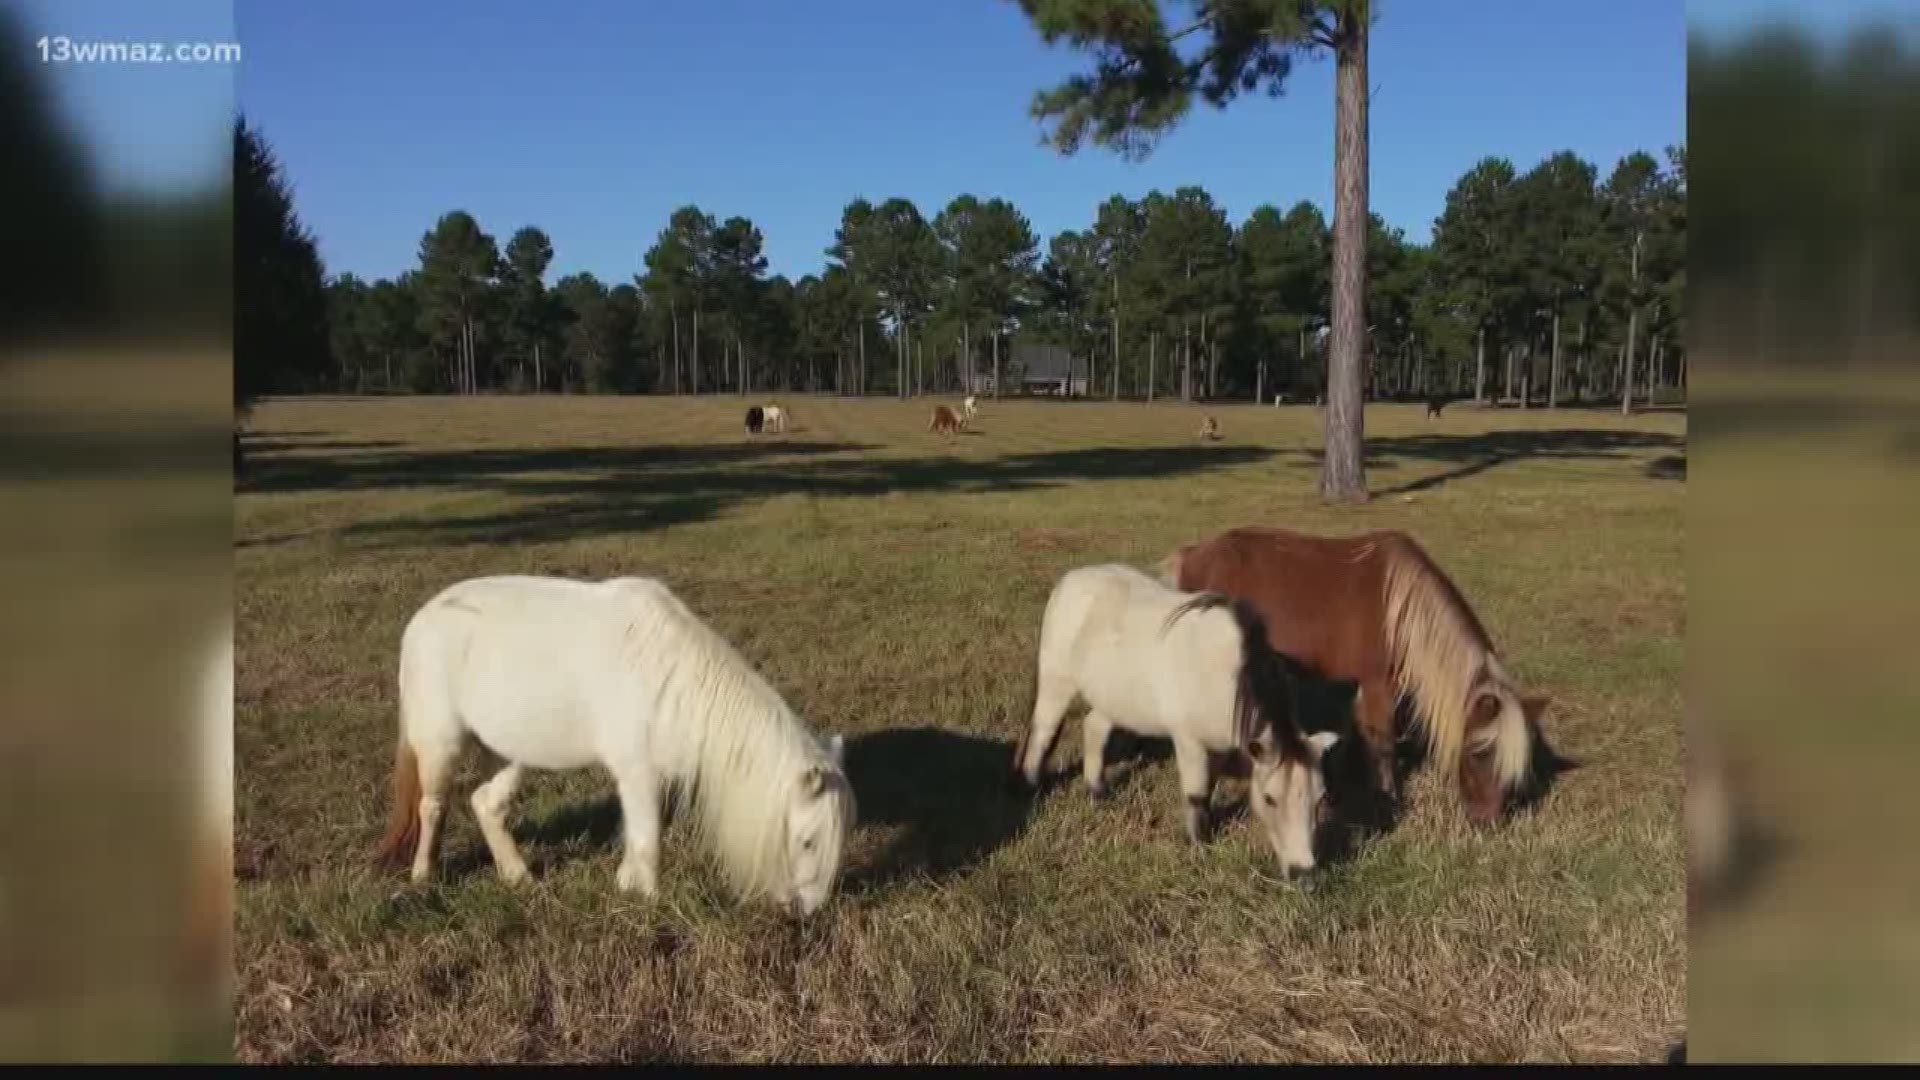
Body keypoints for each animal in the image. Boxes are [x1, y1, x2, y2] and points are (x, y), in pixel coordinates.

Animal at [374, 572, 856, 907]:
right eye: (808, 841)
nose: (810, 911)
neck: (673, 680)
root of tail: (423, 616)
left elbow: (640, 834)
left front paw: (628, 883)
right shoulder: (637, 772)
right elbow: (649, 839)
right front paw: (649, 900)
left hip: (508, 751)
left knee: (487, 804)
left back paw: (517, 876)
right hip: (440, 743)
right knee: (433, 806)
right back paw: (424, 877)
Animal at [1006, 564, 1351, 876]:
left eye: (1320, 798)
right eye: (1270, 799)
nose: (1304, 874)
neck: (1226, 671)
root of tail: (1072, 577)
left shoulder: (1218, 745)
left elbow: (1208, 788)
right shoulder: (1189, 741)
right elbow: (1196, 794)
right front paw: (1199, 845)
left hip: (1111, 695)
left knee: (1094, 728)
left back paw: (1097, 792)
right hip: (1056, 681)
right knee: (1043, 733)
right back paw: (1029, 787)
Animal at [1152, 526, 1559, 818]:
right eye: (1479, 752)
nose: (1487, 820)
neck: (1400, 611)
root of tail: (1193, 554)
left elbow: (1355, 733)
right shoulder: (1379, 684)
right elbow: (1383, 741)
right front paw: (1388, 799)